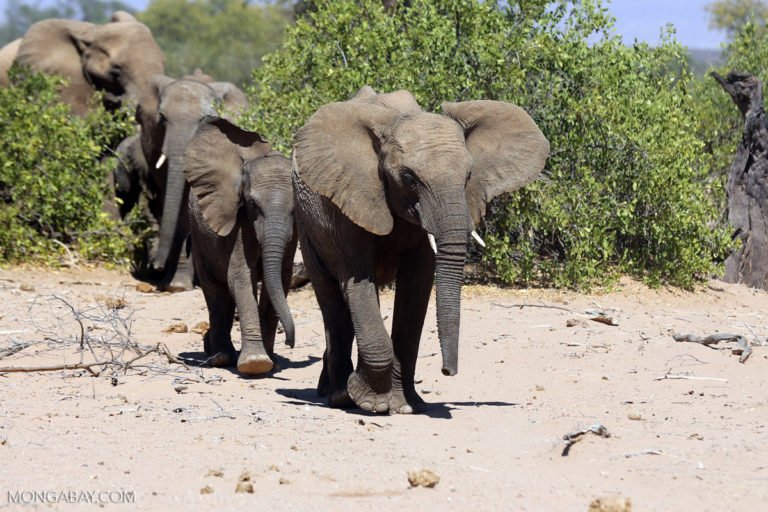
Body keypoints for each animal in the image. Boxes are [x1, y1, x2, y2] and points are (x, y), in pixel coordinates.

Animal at [184, 117, 296, 376]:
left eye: (296, 208)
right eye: (253, 204)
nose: (290, 342)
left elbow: (280, 279)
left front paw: (271, 362)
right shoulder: (238, 222)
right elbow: (241, 277)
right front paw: (255, 363)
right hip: (198, 235)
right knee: (215, 291)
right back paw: (221, 357)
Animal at [292, 85, 548, 412]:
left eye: (468, 176)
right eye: (409, 178)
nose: (448, 371)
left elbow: (416, 289)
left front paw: (405, 405)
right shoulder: (351, 200)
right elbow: (357, 279)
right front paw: (371, 402)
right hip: (306, 220)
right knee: (331, 300)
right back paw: (337, 396)